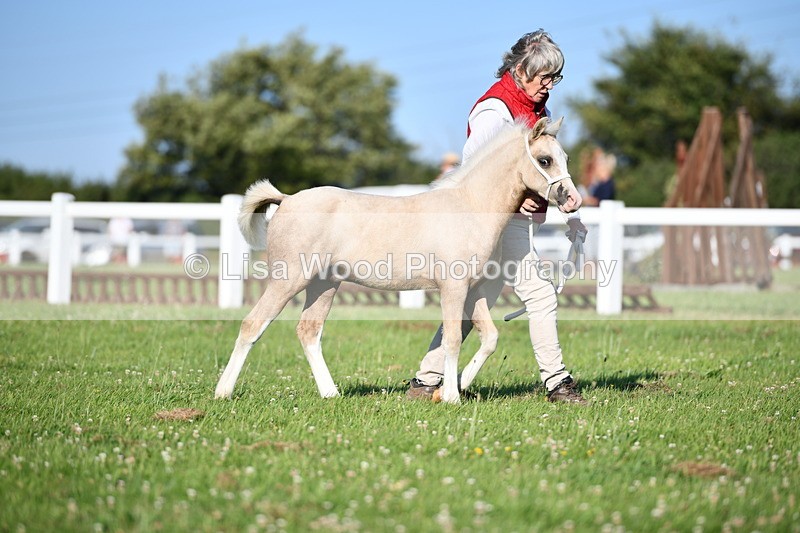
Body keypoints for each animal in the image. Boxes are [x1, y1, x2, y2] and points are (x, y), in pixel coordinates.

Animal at [214, 117, 580, 404]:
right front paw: (450, 396)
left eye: (564, 157)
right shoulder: (453, 288)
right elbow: (451, 338)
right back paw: (223, 392)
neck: (469, 207)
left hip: (324, 284)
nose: (573, 200)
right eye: (544, 160)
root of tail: (286, 199)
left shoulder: (473, 291)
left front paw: (453, 387)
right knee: (252, 325)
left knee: (308, 331)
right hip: (288, 280)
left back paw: (331, 393)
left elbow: (488, 338)